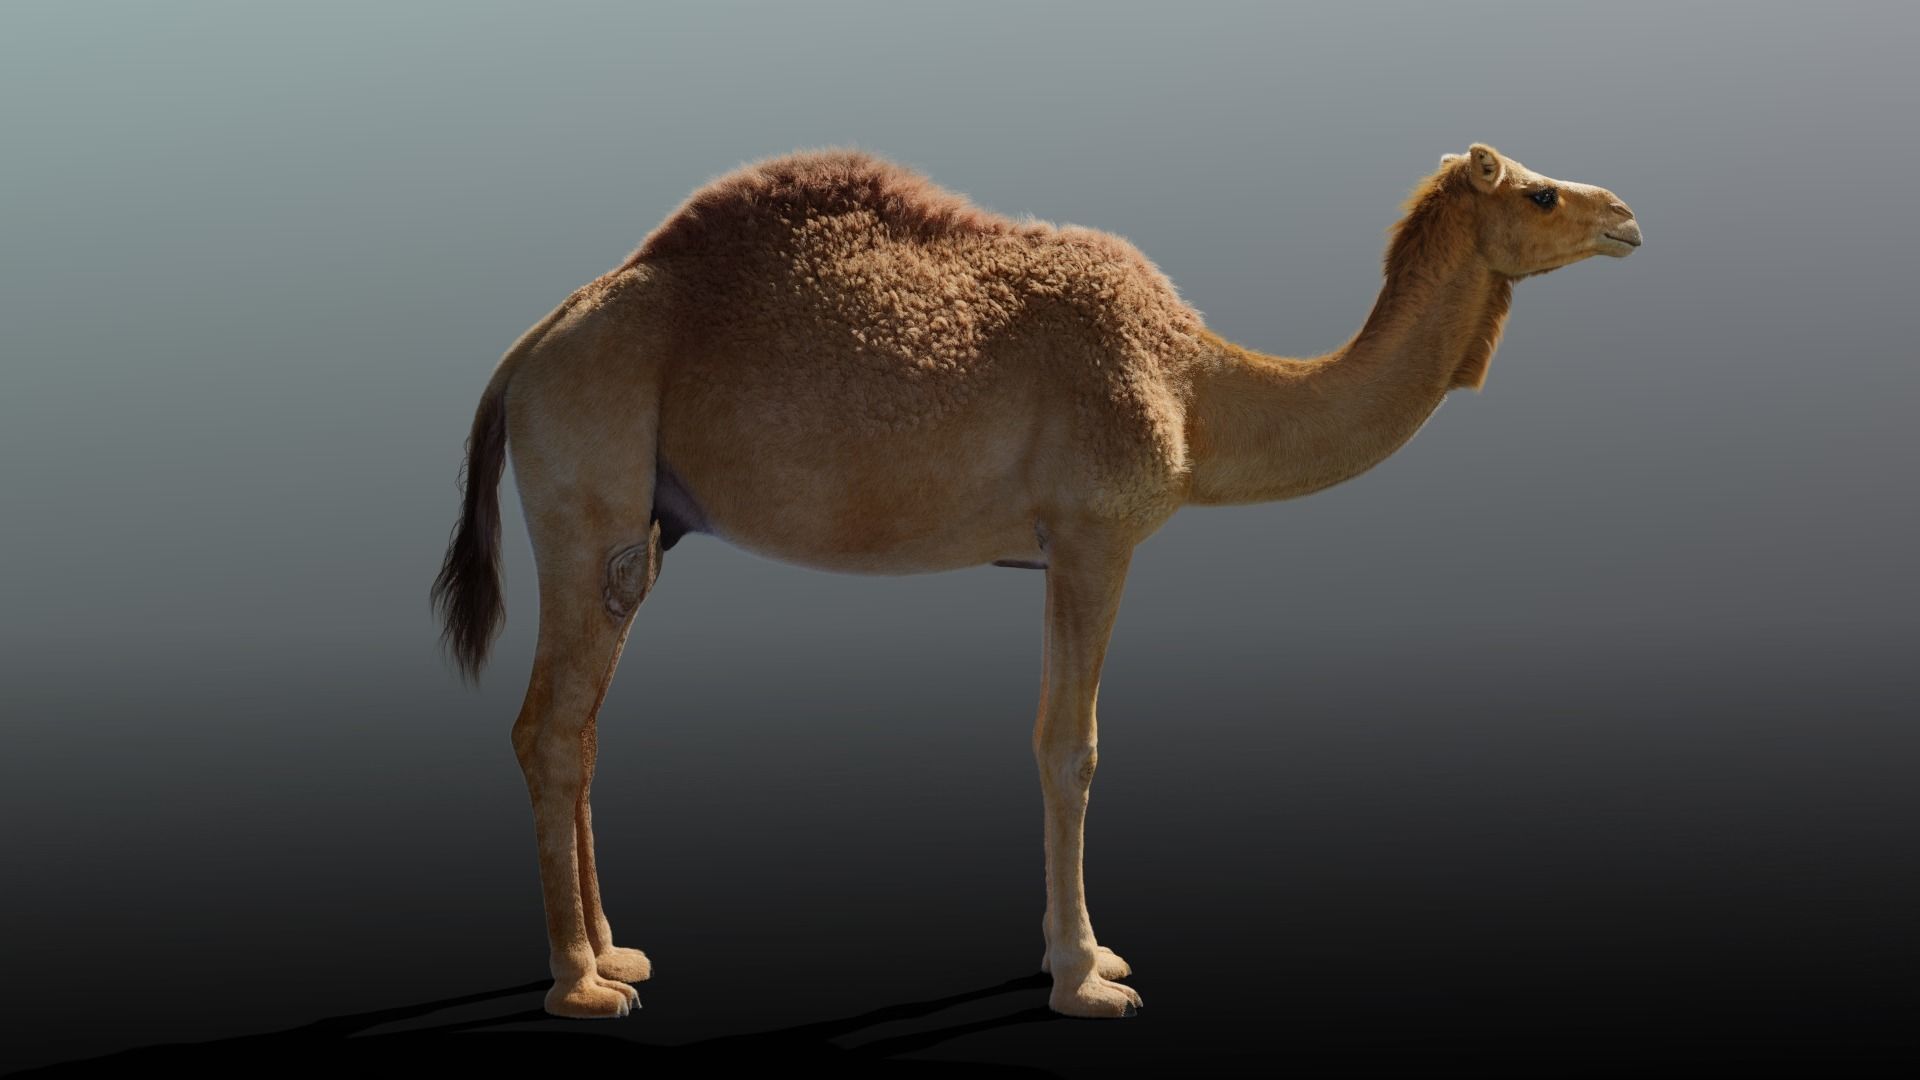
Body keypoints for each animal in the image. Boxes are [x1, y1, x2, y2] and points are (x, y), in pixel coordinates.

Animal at [430, 141, 1641, 1020]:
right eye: (1540, 192)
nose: (1627, 215)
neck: (1193, 386)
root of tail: (529, 348)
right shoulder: (1096, 534)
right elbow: (1072, 746)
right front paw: (1086, 975)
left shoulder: (1060, 549)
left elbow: (1064, 739)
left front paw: (1083, 956)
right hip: (588, 489)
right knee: (551, 726)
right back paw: (580, 986)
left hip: (644, 525)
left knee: (582, 726)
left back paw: (615, 955)